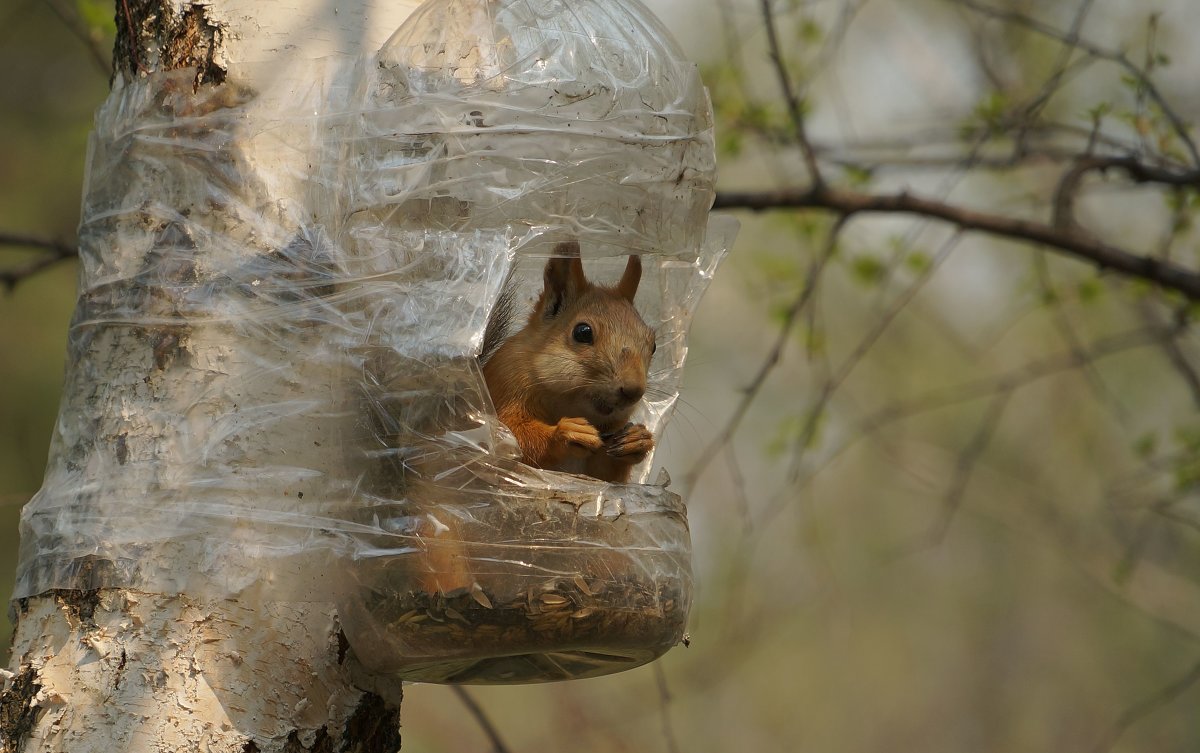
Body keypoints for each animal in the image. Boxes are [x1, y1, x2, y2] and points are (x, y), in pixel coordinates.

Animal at [482, 244, 657, 484]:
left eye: (654, 345)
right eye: (582, 332)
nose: (634, 391)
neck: (567, 403)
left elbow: (604, 476)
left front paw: (637, 440)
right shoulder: (506, 385)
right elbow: (510, 438)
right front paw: (564, 433)